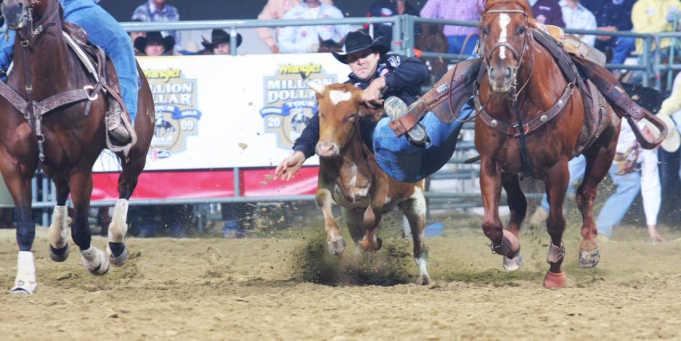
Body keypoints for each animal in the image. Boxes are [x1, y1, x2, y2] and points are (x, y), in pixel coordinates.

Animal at [0, 0, 153, 292]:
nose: (12, 11)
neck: (40, 90)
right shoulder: (14, 163)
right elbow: (25, 227)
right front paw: (24, 281)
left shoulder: (80, 166)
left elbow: (81, 228)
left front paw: (97, 262)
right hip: (51, 161)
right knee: (60, 189)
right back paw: (57, 243)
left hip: (137, 152)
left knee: (125, 186)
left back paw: (116, 246)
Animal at [472, 0, 620, 288]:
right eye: (485, 29)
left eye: (521, 29)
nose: (500, 75)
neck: (518, 105)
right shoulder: (490, 163)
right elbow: (491, 224)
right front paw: (510, 248)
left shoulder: (557, 168)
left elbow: (556, 222)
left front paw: (555, 271)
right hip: (511, 170)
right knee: (519, 204)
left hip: (605, 149)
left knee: (585, 194)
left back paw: (588, 247)